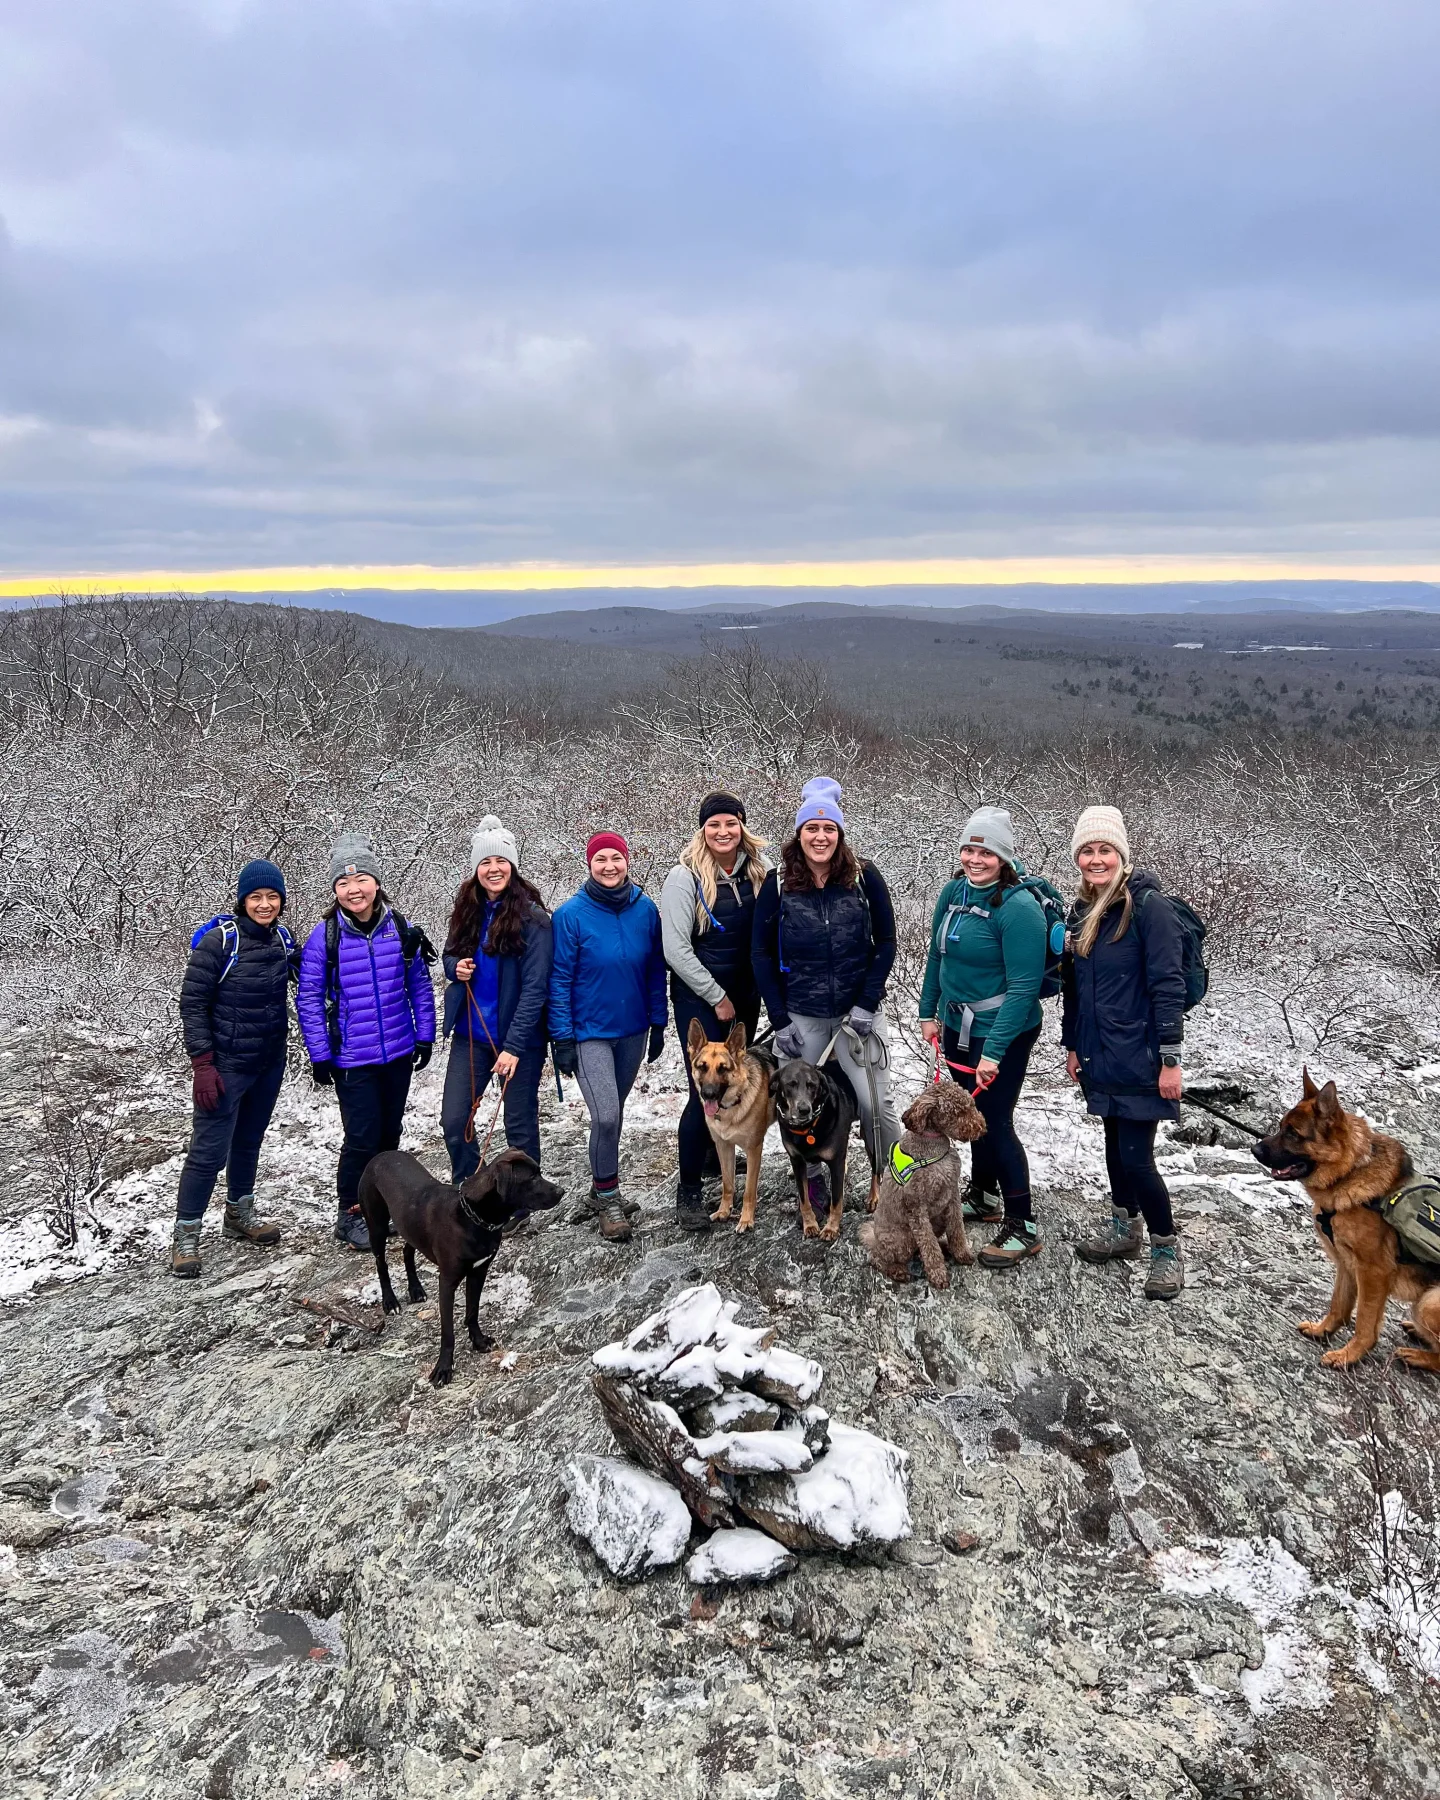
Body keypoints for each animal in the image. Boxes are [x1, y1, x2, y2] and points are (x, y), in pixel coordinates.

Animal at [356, 1144, 565, 1382]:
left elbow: (472, 1311)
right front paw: (444, 1367)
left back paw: (416, 1289)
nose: (561, 1191)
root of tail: (379, 1156)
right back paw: (390, 1301)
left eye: (539, 1172)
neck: (475, 1216)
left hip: (409, 1226)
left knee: (407, 1251)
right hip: (377, 1226)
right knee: (381, 1264)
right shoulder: (447, 1282)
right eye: (531, 1178)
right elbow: (448, 1332)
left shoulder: (479, 1271)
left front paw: (479, 1341)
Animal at [687, 1022, 777, 1231]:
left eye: (723, 1069)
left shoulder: (754, 1149)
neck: (732, 1105)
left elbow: (749, 1191)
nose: (708, 1094)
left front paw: (746, 1219)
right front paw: (724, 1211)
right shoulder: (724, 1146)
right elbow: (728, 1184)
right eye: (702, 1067)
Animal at [860, 1072, 986, 1288]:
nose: (982, 1127)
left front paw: (961, 1253)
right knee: (878, 1257)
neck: (933, 1145)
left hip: (938, 1219)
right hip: (902, 1239)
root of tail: (874, 1236)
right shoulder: (916, 1207)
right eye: (958, 1111)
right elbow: (928, 1244)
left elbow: (957, 1229)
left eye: (971, 1105)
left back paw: (945, 1246)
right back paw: (897, 1271)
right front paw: (937, 1274)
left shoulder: (952, 1195)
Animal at [1245, 1058, 1440, 1368]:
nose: (1254, 1149)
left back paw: (1416, 1355)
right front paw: (1323, 1330)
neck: (1349, 1172)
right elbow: (1339, 1304)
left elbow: (1364, 1322)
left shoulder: (1374, 1272)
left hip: (1429, 1302)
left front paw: (1349, 1355)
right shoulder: (1346, 1264)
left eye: (1293, 1134)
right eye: (1280, 1126)